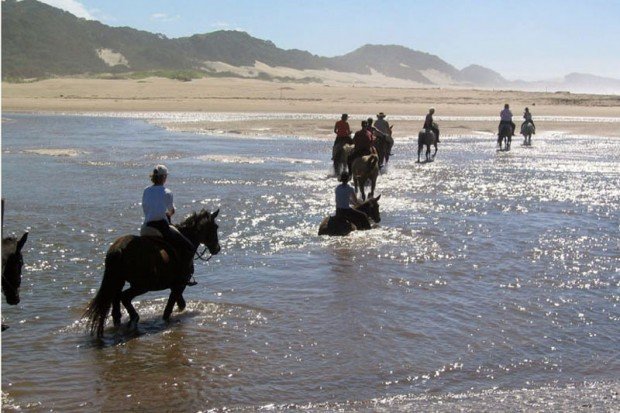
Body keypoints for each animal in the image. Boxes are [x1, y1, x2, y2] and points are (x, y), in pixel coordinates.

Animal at [83, 208, 222, 336]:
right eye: (215, 227)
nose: (217, 248)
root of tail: (119, 249)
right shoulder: (179, 285)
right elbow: (170, 309)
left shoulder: (174, 286)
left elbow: (180, 304)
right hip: (142, 286)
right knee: (124, 297)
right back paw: (134, 319)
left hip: (119, 281)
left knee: (116, 300)